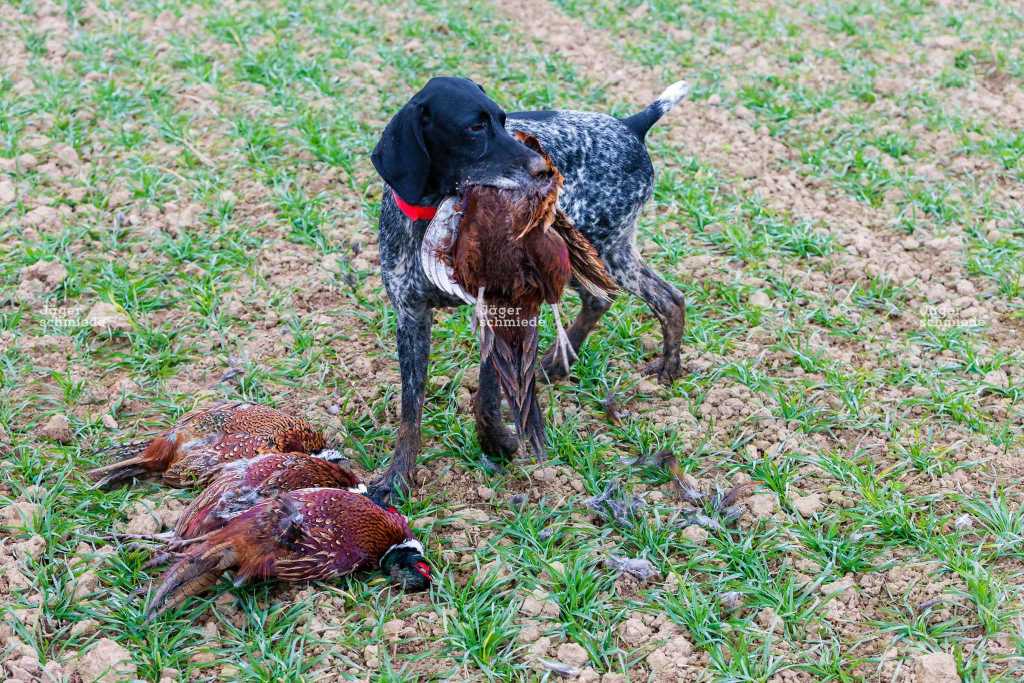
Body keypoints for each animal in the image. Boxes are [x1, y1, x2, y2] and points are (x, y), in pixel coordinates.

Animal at [368, 77, 688, 499]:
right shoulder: (410, 316)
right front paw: (397, 477)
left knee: (663, 298)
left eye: (504, 121)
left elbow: (486, 398)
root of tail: (629, 125)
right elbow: (410, 409)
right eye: (475, 127)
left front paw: (498, 443)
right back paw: (560, 363)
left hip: (597, 247)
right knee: (617, 298)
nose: (543, 169)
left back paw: (668, 369)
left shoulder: (498, 308)